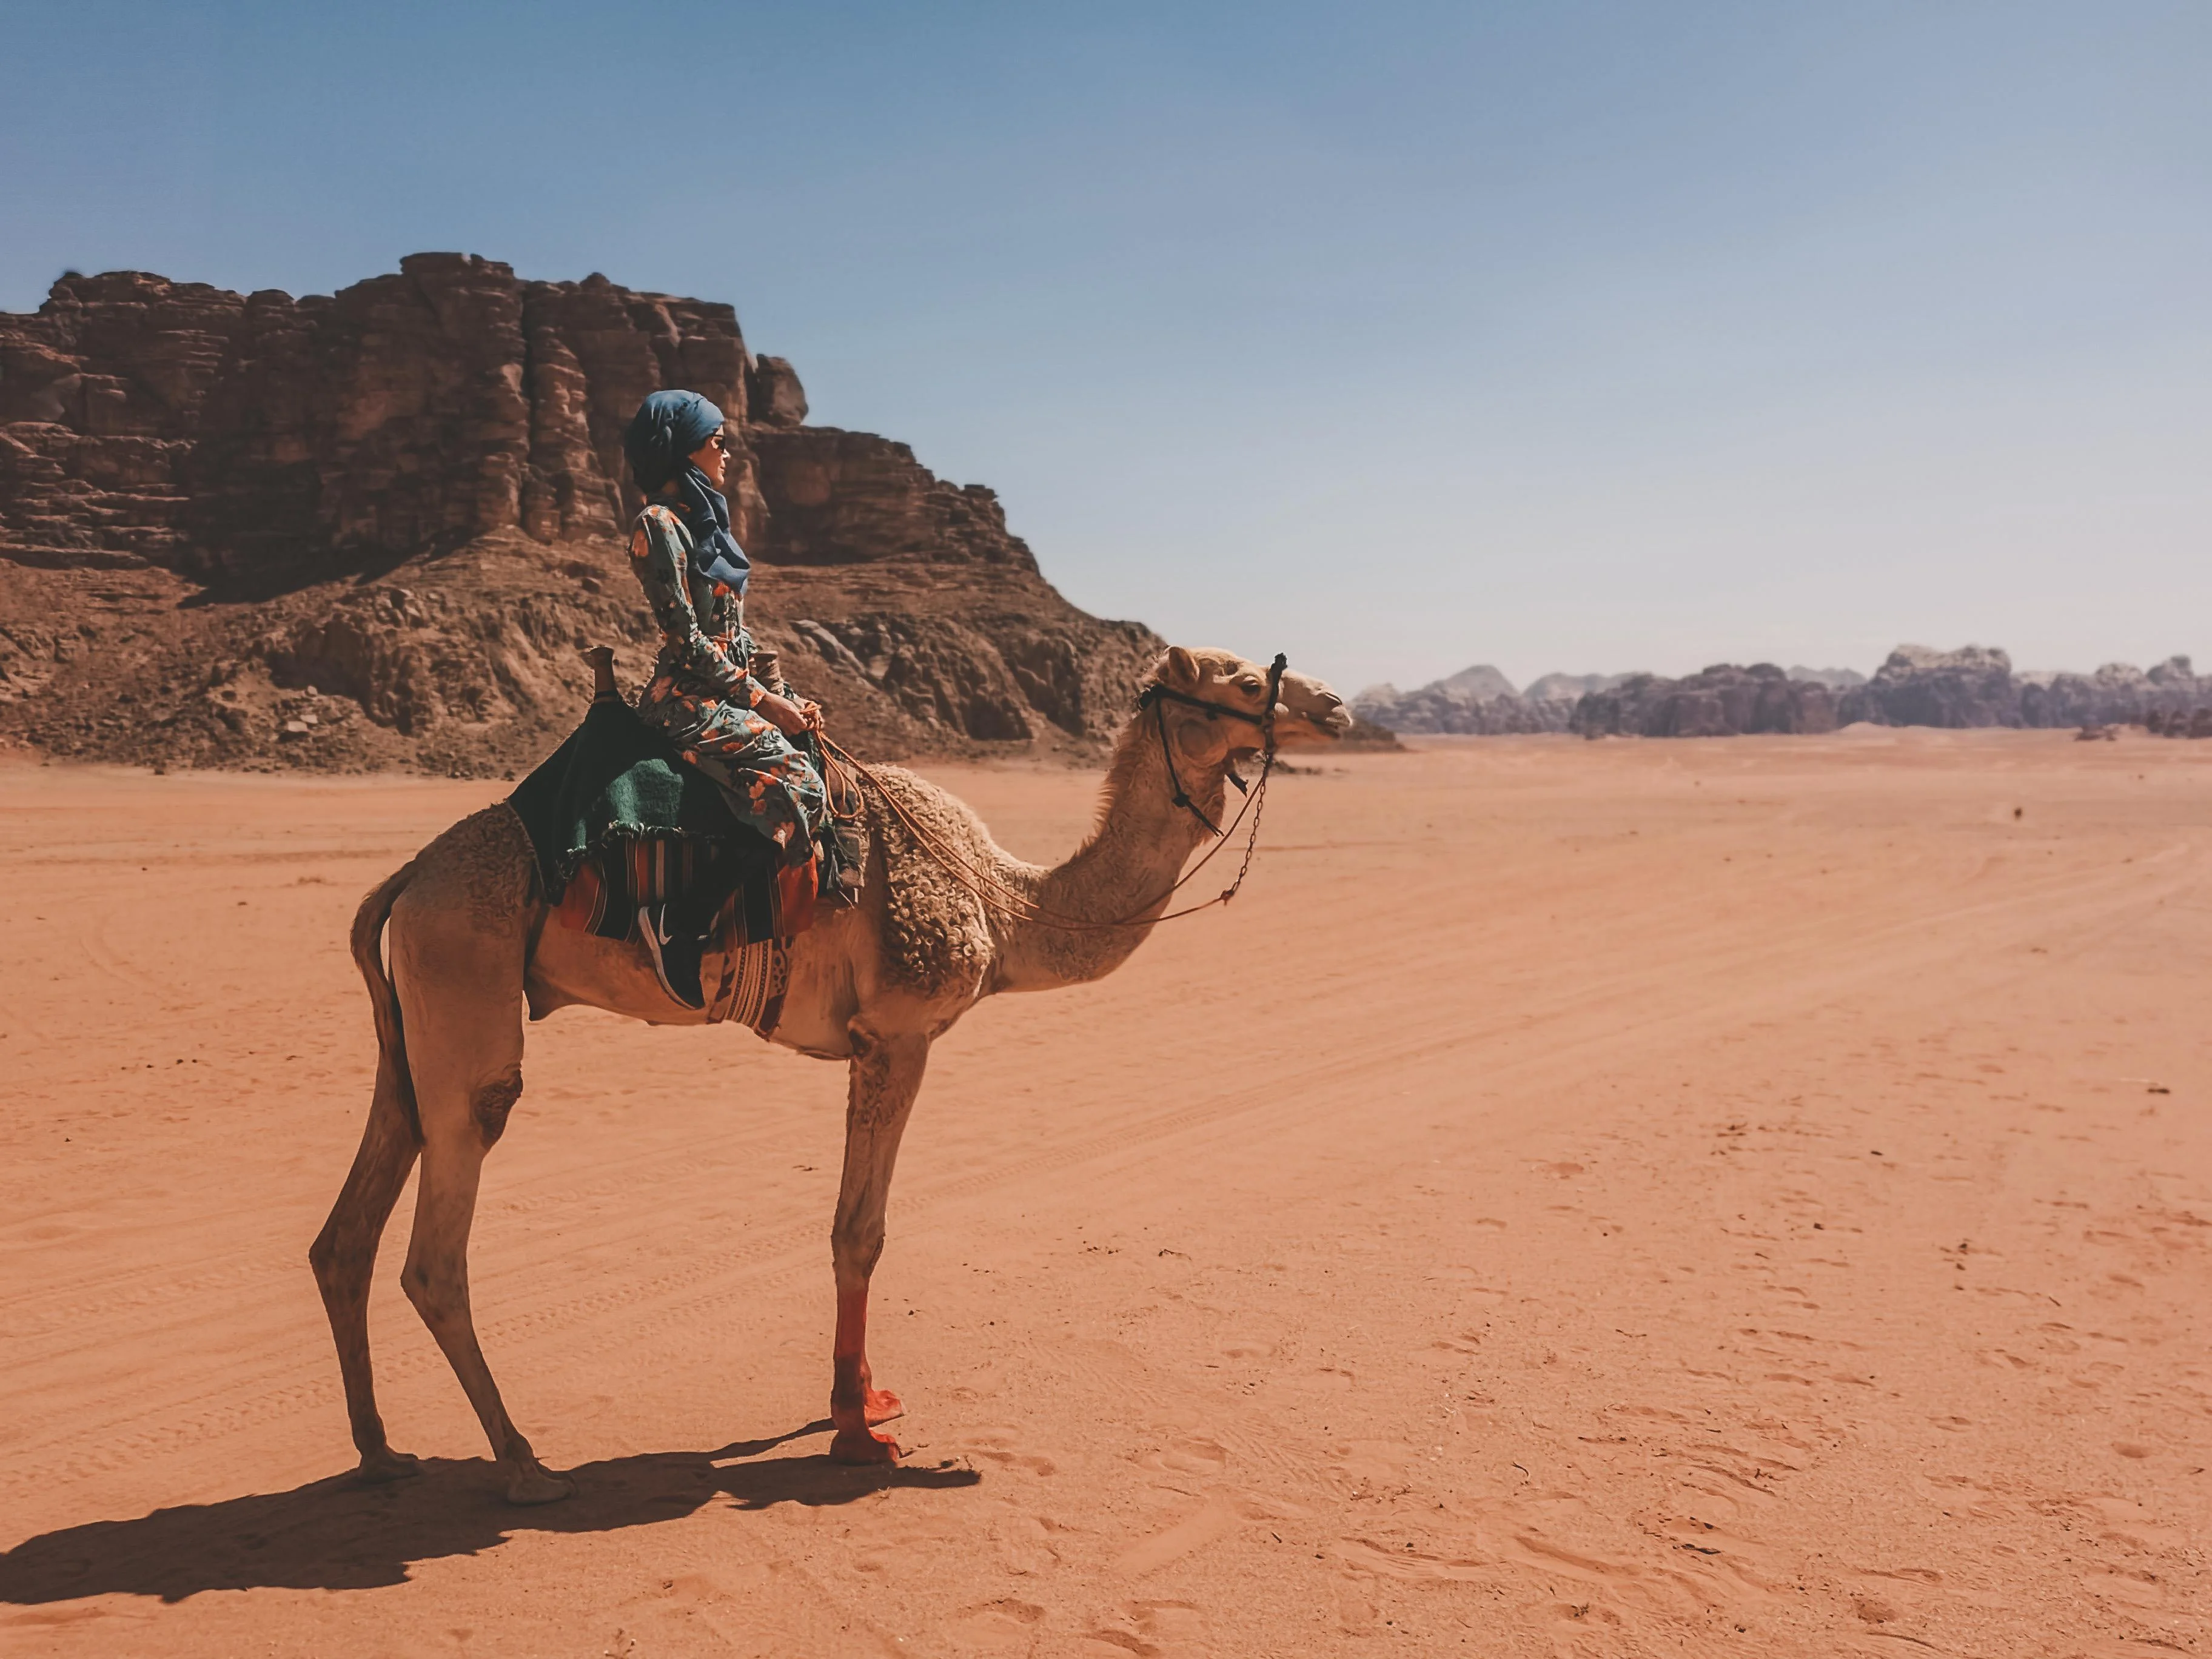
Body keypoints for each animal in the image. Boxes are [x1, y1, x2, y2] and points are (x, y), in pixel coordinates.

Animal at [310, 645, 1351, 1502]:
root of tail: (407, 877)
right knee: (438, 1248)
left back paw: (380, 1452)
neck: (1004, 901)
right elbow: (861, 1233)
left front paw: (869, 1401)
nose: (1338, 707)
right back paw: (524, 1467)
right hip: (468, 988)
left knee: (348, 1230)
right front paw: (861, 1436)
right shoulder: (899, 1032)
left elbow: (858, 1228)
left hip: (412, 1029)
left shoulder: (872, 1040)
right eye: (1245, 681)